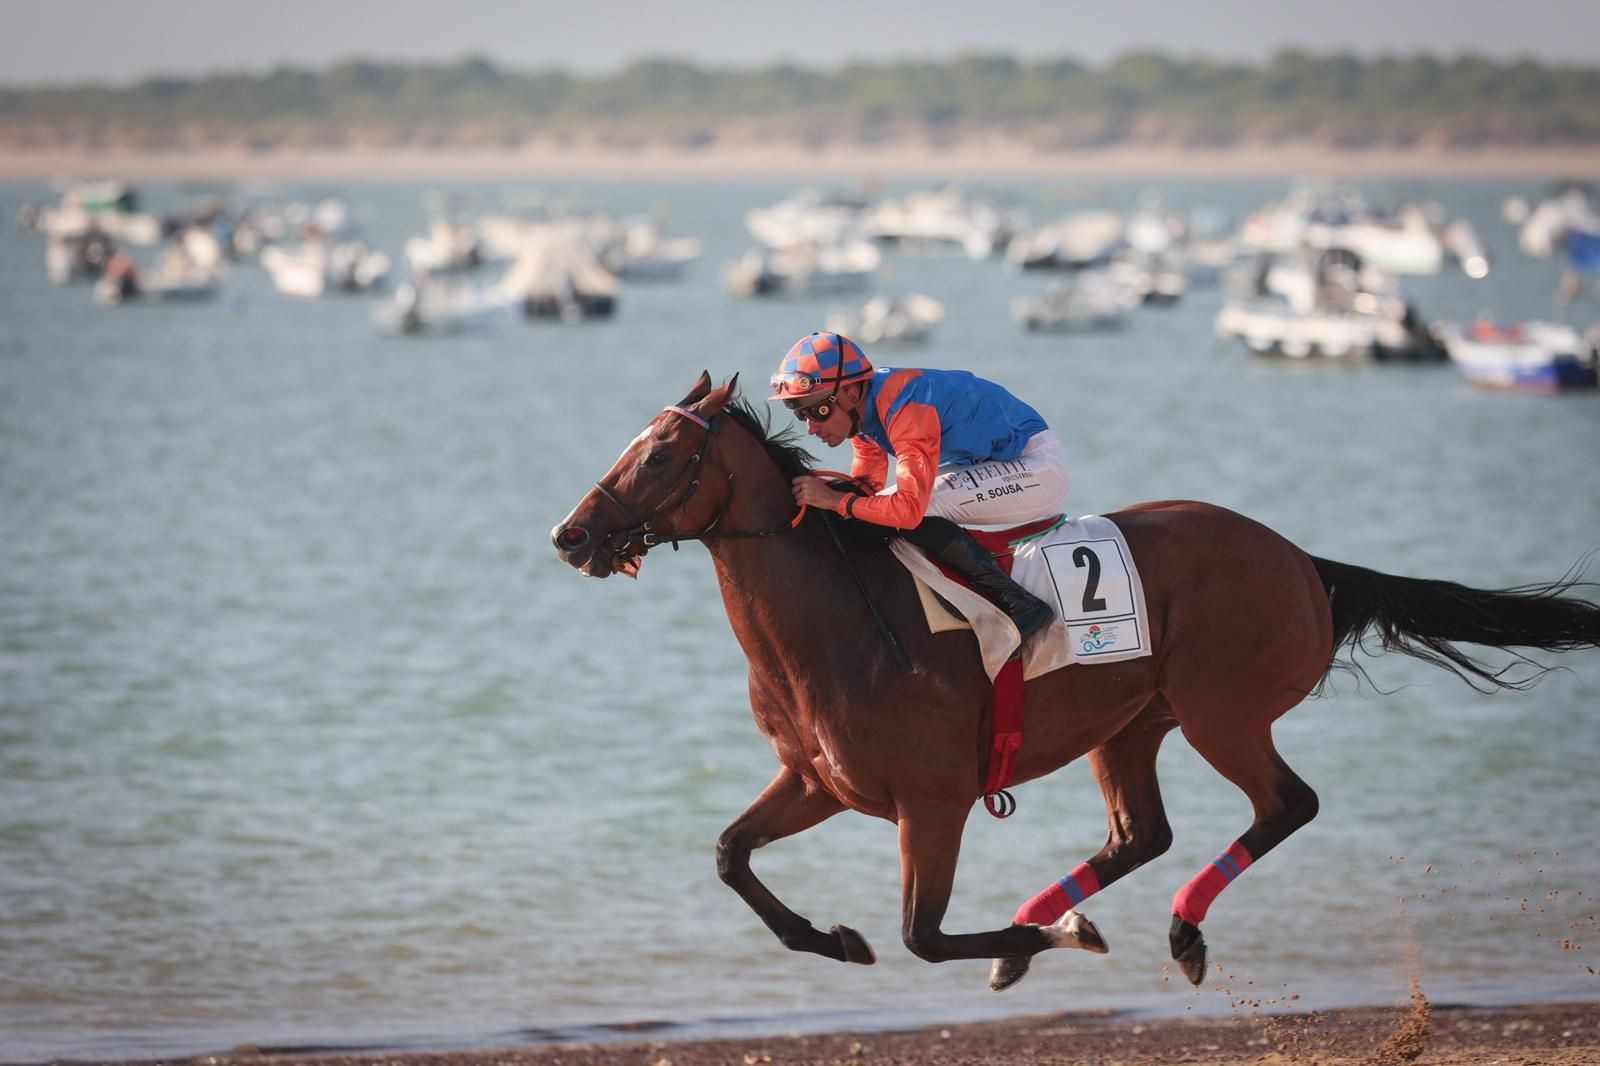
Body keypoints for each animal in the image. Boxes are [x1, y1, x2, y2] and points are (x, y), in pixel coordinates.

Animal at [550, 372, 1600, 992]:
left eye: (662, 452)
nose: (570, 534)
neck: (839, 626)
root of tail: (1300, 557)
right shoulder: (818, 781)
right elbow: (731, 855)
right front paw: (837, 938)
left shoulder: (933, 803)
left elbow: (923, 935)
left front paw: (1053, 940)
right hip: (1130, 723)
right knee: (1143, 833)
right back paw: (1058, 917)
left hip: (1224, 713)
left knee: (1287, 805)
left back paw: (1170, 931)